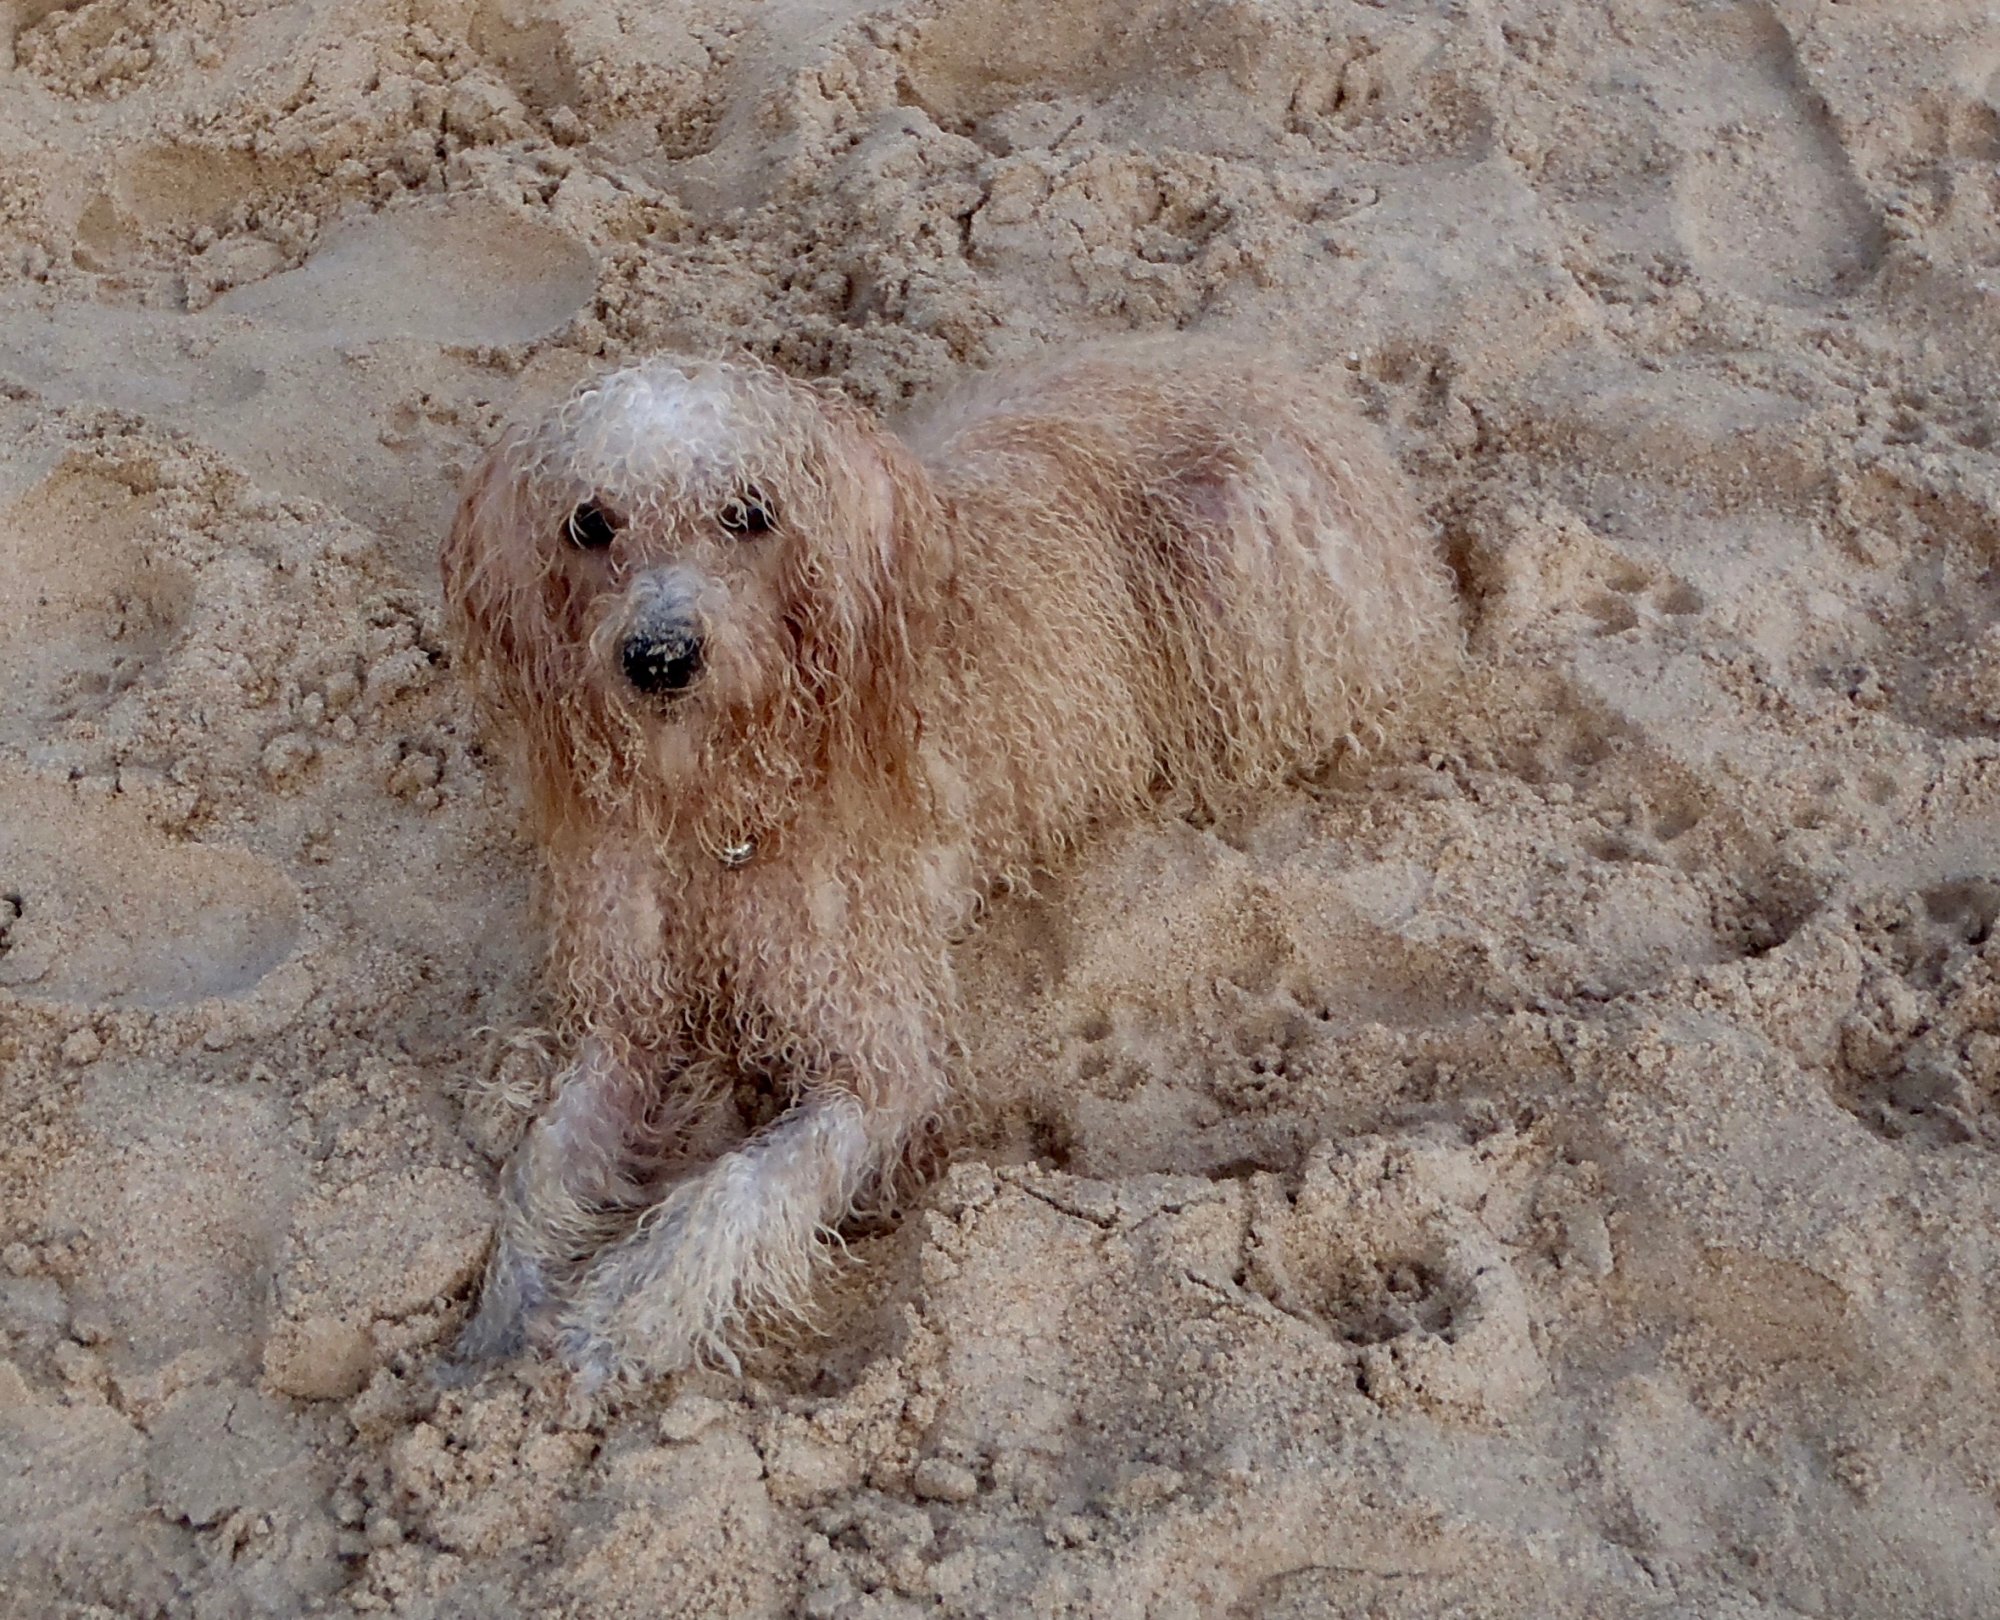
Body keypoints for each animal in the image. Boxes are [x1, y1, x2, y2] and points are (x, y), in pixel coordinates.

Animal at [441, 344, 1458, 1384]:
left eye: (750, 513)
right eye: (589, 523)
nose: (658, 656)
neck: (715, 802)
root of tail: (1292, 377)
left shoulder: (878, 1068)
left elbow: (736, 1192)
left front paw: (621, 1320)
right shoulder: (622, 1028)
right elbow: (540, 1166)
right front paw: (501, 1320)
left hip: (1237, 563)